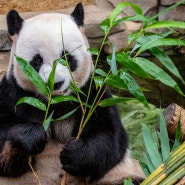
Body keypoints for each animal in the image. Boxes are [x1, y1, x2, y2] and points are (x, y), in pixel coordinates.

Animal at [0, 2, 145, 185]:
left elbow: (111, 137)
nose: (55, 84)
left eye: (66, 57)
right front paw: (33, 136)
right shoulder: (13, 93)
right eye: (37, 60)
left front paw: (73, 154)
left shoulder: (92, 93)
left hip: (116, 176)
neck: (55, 104)